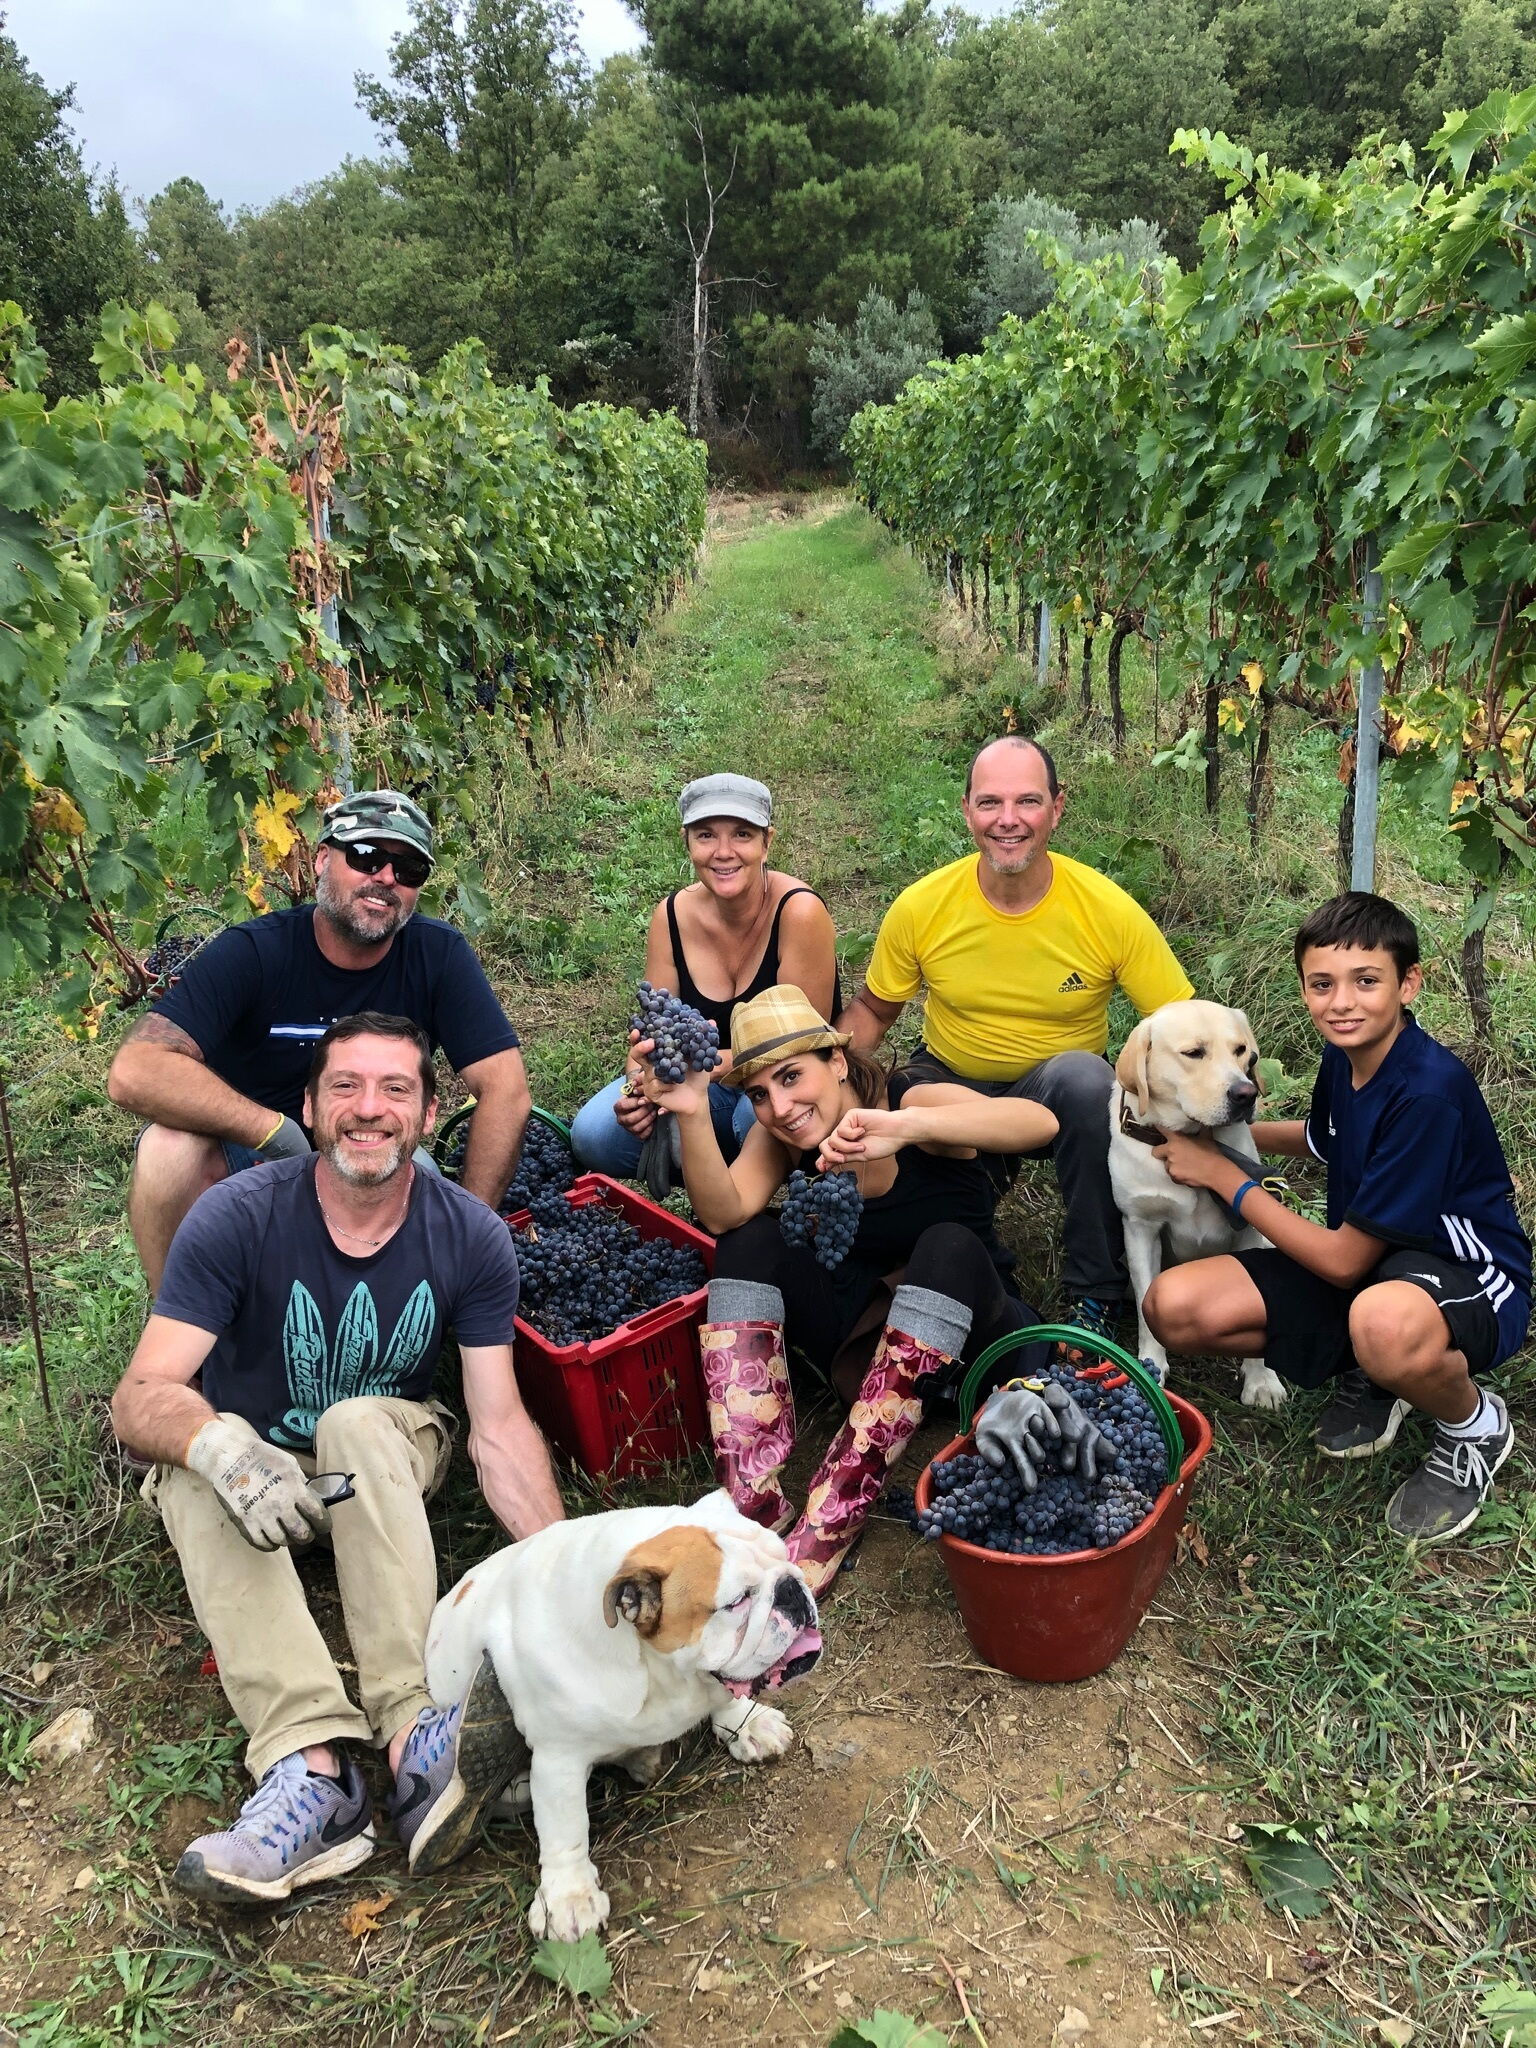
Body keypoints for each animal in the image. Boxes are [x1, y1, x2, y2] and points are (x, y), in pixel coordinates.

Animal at [424, 1488, 822, 1941]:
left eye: (784, 1554)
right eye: (736, 1602)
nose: (792, 1587)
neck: (656, 1667)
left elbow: (727, 1694)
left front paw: (749, 1722)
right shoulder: (558, 1760)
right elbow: (565, 1829)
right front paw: (569, 1897)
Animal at [1109, 999, 1287, 1411]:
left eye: (1244, 1052)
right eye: (1193, 1053)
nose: (1246, 1094)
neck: (1188, 1138)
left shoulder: (1250, 1231)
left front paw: (1261, 1379)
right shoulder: (1140, 1227)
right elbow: (1146, 1301)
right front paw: (1151, 1366)